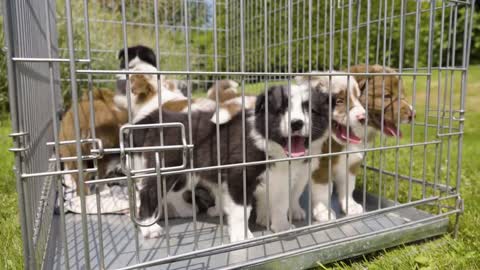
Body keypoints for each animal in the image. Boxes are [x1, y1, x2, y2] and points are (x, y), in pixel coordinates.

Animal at [133, 83, 336, 242]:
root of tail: (163, 119)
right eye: (280, 110)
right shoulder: (239, 177)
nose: (296, 124)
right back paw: (149, 228)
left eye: (310, 110)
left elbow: (281, 203)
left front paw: (282, 227)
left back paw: (186, 210)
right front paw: (241, 236)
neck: (270, 145)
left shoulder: (283, 178)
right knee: (148, 194)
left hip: (185, 172)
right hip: (166, 167)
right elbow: (241, 211)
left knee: (174, 192)